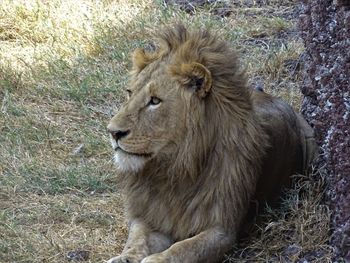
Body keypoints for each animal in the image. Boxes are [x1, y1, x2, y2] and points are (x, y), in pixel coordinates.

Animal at [105, 23, 316, 262]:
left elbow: (184, 249)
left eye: (155, 101)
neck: (174, 169)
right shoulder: (150, 215)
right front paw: (124, 257)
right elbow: (136, 239)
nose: (113, 132)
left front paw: (156, 259)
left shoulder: (222, 229)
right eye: (129, 93)